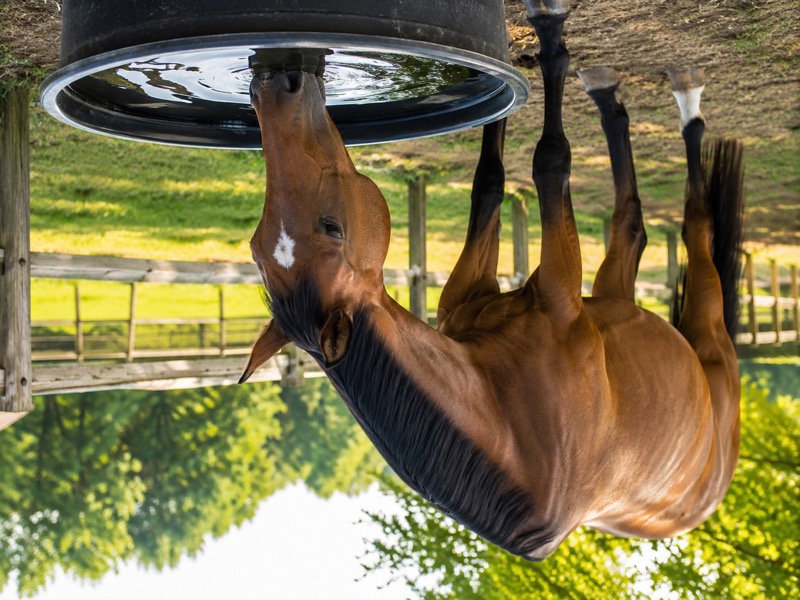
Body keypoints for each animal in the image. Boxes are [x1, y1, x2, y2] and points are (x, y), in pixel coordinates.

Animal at [240, 0, 744, 561]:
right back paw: (672, 99)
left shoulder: (476, 287)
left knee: (634, 222)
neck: (511, 424)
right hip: (699, 320)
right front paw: (548, 33)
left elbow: (489, 181)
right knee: (677, 223)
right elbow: (549, 160)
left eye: (330, 227)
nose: (274, 86)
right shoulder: (562, 290)